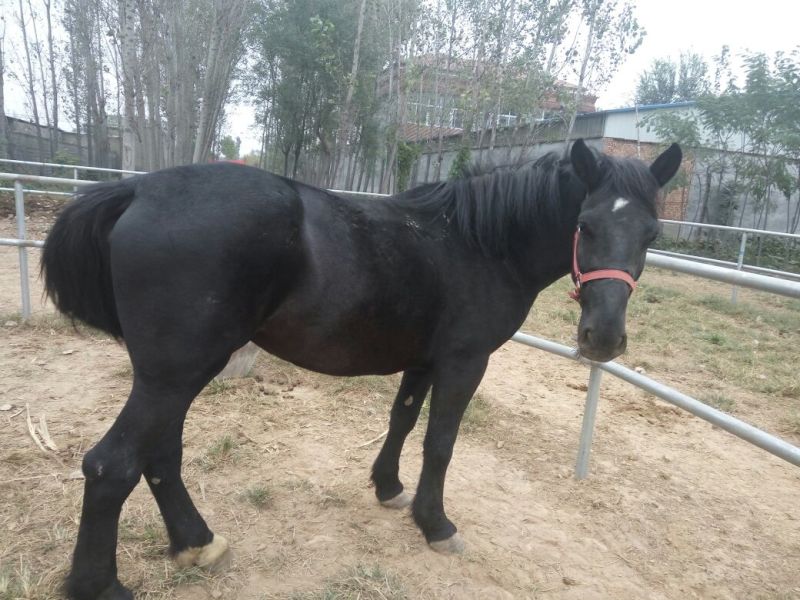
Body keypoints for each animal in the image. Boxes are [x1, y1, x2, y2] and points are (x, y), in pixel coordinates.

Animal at [41, 139, 681, 599]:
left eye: (651, 232)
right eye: (585, 224)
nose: (603, 338)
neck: (477, 243)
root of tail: (138, 189)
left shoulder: (423, 360)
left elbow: (402, 421)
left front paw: (389, 487)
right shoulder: (464, 362)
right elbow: (440, 443)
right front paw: (435, 524)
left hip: (176, 374)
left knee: (160, 457)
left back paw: (197, 543)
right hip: (176, 373)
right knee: (110, 466)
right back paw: (101, 586)